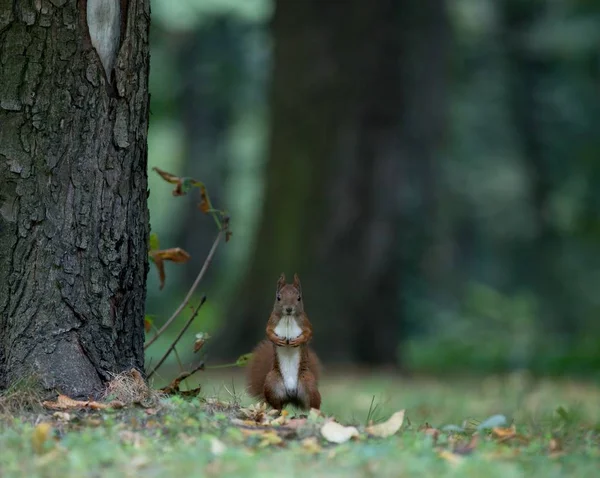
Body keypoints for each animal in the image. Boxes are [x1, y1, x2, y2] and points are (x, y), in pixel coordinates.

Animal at [247, 272, 324, 410]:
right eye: (278, 297)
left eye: (299, 298)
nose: (289, 309)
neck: (288, 318)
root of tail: (291, 395)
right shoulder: (271, 321)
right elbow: (268, 332)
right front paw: (277, 339)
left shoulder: (305, 322)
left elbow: (309, 333)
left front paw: (298, 341)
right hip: (272, 384)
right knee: (277, 405)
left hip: (308, 384)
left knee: (313, 405)